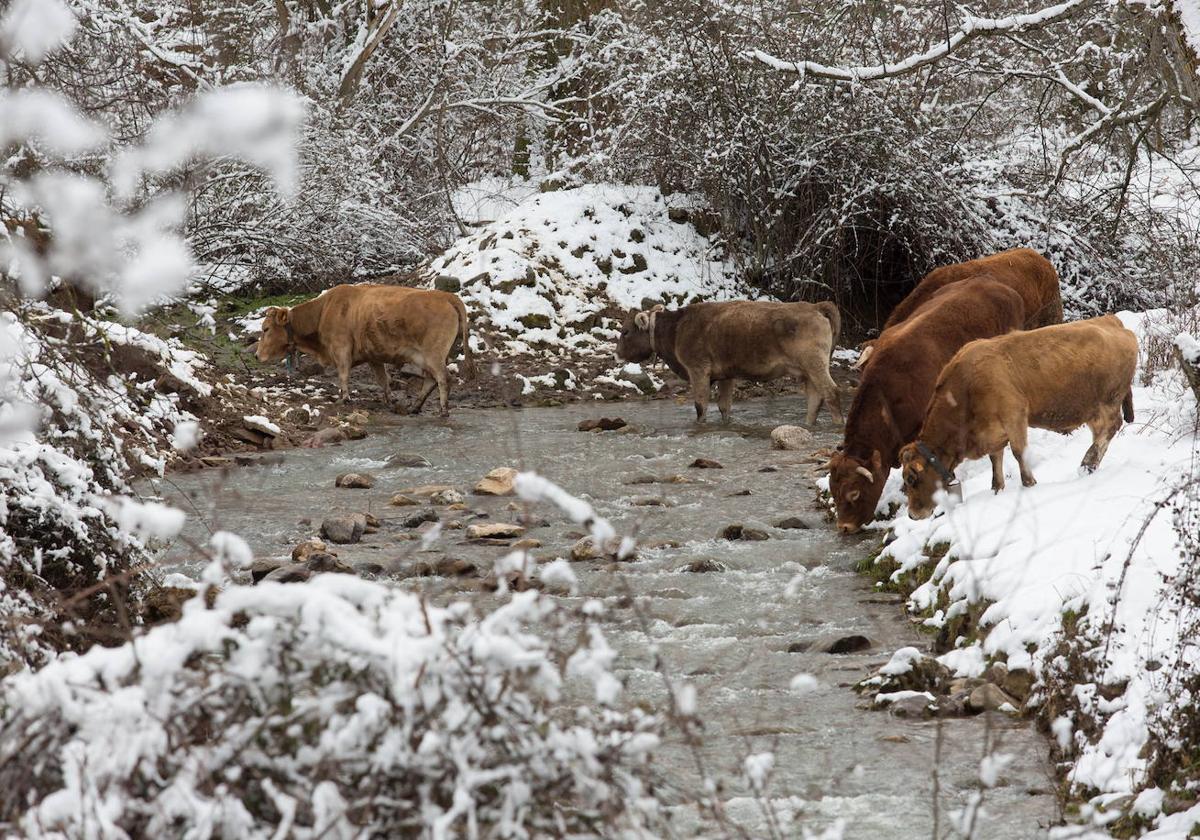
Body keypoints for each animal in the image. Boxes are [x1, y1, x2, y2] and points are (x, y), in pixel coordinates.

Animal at [255, 284, 475, 415]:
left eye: (266, 329)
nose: (257, 355)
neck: (323, 311)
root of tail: (446, 296)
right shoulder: (373, 356)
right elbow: (383, 380)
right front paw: (389, 400)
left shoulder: (341, 348)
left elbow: (343, 375)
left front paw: (343, 398)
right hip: (428, 356)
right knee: (430, 380)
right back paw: (414, 406)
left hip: (433, 354)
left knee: (443, 379)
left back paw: (443, 410)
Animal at [619, 300, 844, 427]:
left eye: (625, 331)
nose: (617, 354)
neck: (677, 327)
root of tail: (815, 306)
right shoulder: (726, 376)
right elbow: (724, 407)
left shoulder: (698, 371)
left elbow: (700, 405)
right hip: (808, 372)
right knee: (816, 399)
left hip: (815, 366)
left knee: (831, 393)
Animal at [897, 314, 1137, 518]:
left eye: (911, 478)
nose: (912, 514)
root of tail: (1111, 321)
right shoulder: (992, 432)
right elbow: (995, 459)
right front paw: (997, 488)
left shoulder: (1015, 415)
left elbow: (1019, 452)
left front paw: (1029, 483)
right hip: (1092, 410)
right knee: (1101, 433)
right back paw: (1091, 465)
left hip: (1109, 401)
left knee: (1112, 426)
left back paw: (1088, 462)